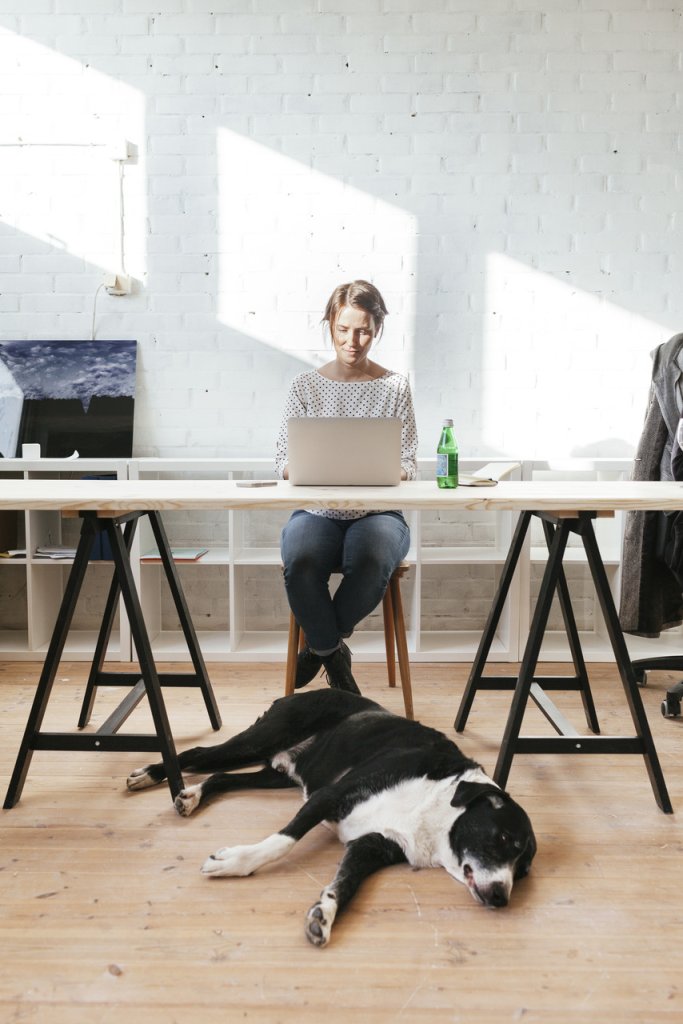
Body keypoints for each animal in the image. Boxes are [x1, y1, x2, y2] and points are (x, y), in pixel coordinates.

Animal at [125, 692, 536, 946]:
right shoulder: (329, 797)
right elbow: (281, 842)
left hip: (276, 774)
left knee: (223, 776)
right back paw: (149, 774)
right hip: (259, 739)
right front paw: (236, 863)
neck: (436, 807)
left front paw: (325, 913)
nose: (501, 897)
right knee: (196, 754)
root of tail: (302, 691)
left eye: (522, 871)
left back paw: (193, 795)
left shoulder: (371, 845)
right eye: (503, 839)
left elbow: (347, 883)